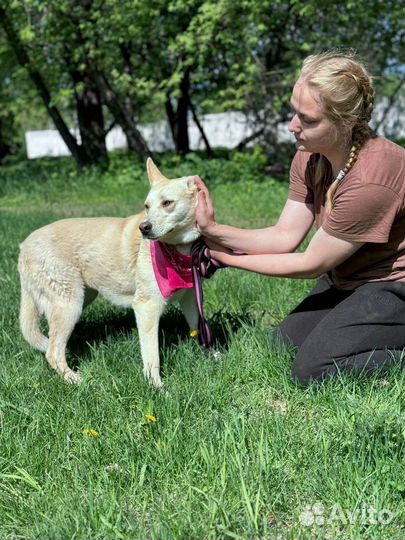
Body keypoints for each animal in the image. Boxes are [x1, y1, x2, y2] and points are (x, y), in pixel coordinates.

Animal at [18, 158, 201, 386]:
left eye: (167, 203)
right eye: (147, 206)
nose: (144, 228)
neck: (178, 249)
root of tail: (24, 245)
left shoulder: (190, 298)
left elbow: (200, 330)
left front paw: (213, 356)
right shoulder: (146, 308)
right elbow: (152, 357)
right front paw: (156, 387)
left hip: (81, 298)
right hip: (70, 304)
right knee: (52, 352)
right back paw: (76, 380)